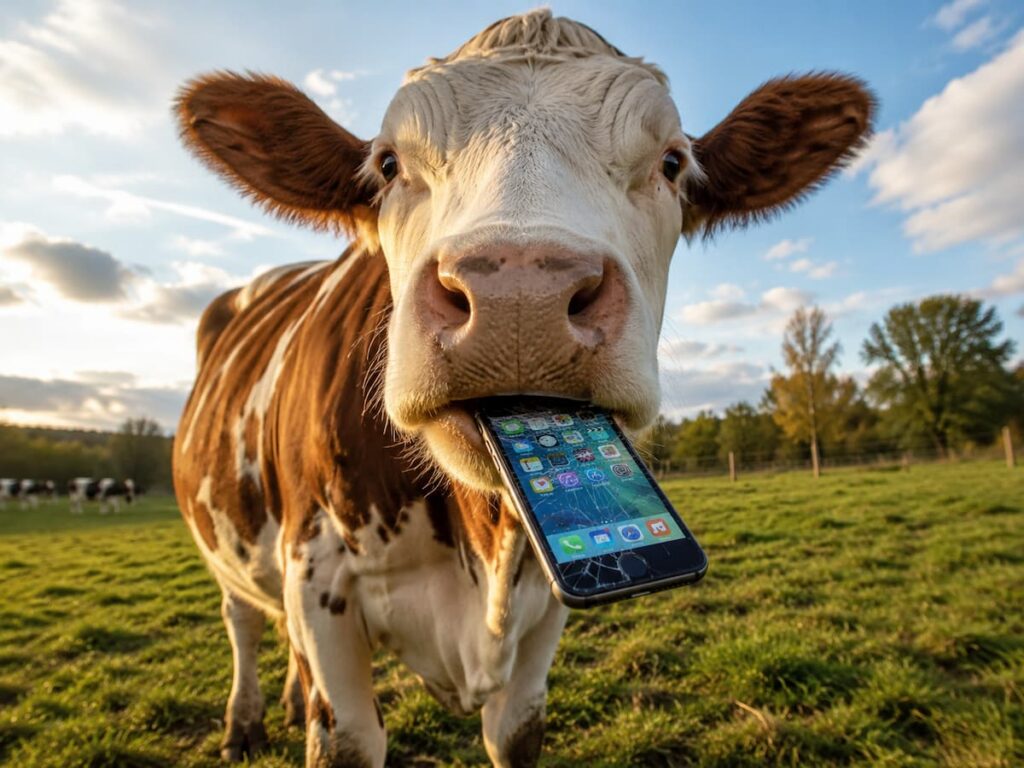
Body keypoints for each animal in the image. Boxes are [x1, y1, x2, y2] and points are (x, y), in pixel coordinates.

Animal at [172, 10, 873, 767]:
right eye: (388, 164)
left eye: (672, 163)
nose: (519, 295)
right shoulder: (316, 578)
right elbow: (346, 737)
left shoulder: (546, 613)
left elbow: (515, 731)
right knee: (241, 616)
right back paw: (243, 723)